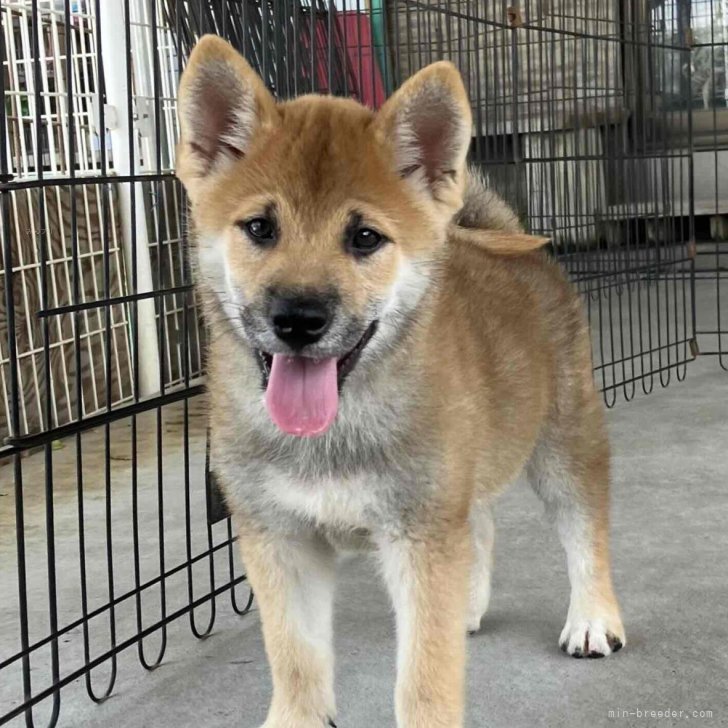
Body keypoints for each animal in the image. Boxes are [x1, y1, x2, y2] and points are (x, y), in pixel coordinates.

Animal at [176, 37, 624, 728]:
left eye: (364, 237)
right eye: (260, 228)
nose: (298, 318)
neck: (334, 431)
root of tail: (505, 241)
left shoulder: (419, 533)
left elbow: (424, 679)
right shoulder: (281, 540)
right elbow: (296, 661)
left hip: (563, 443)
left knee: (584, 528)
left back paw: (594, 619)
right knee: (480, 527)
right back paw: (469, 606)